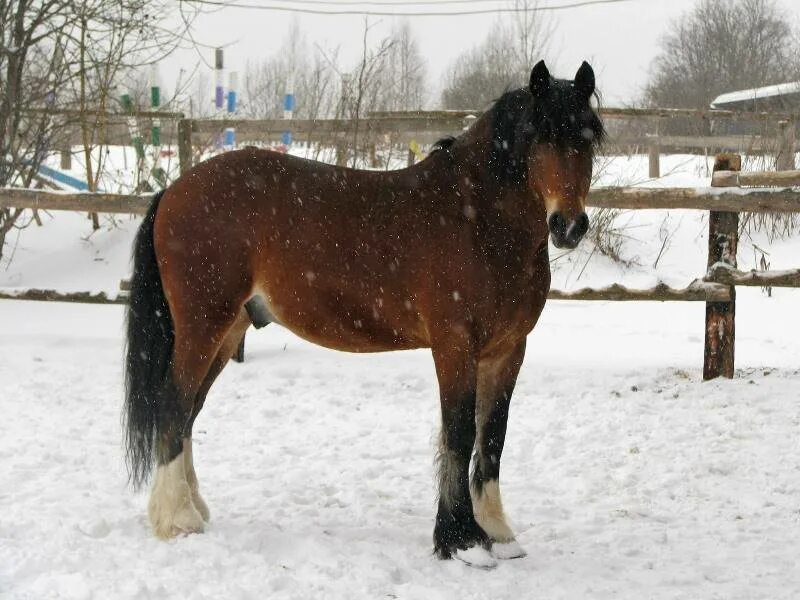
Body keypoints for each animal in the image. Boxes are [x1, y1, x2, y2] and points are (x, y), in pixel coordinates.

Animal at [123, 61, 600, 572]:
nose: (568, 226)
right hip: (203, 326)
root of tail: (175, 189)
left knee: (189, 413)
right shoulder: (455, 345)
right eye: (538, 136)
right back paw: (177, 519)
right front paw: (462, 541)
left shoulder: (508, 350)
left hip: (227, 332)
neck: (477, 220)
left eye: (588, 138)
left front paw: (497, 532)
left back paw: (193, 508)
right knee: (173, 405)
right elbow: (458, 433)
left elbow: (493, 436)